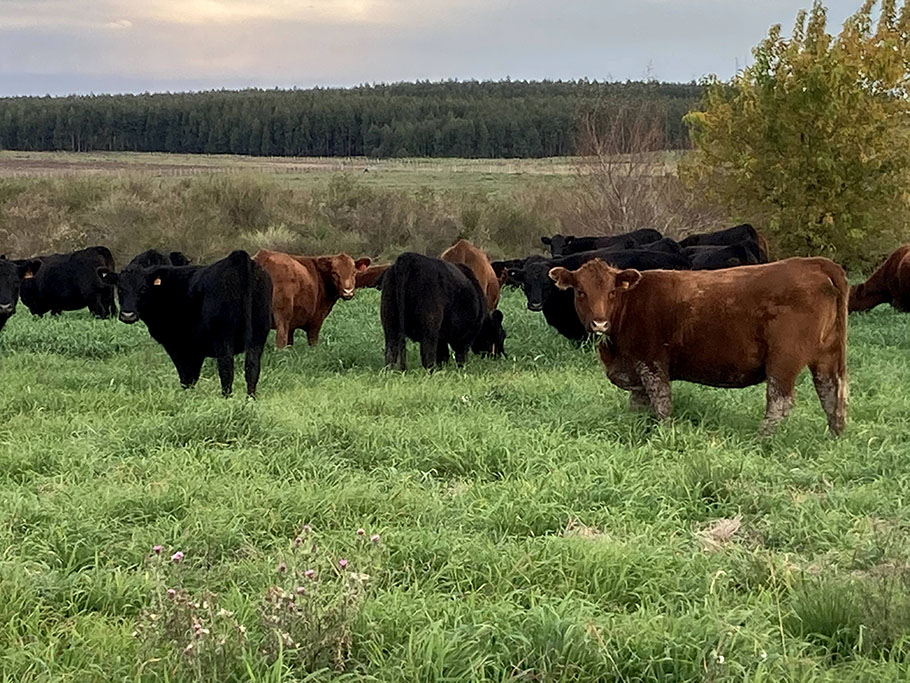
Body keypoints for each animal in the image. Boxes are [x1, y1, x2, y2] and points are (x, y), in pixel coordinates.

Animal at [100, 251, 270, 398]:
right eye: (120, 289)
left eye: (142, 289)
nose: (128, 315)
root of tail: (236, 258)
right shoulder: (196, 349)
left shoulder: (179, 345)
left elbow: (186, 376)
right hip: (258, 334)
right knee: (252, 368)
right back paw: (250, 400)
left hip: (224, 336)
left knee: (226, 368)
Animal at [378, 252, 506, 372]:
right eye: (501, 335)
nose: (500, 356)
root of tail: (408, 258)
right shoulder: (465, 336)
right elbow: (459, 356)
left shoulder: (442, 338)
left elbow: (443, 356)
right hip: (430, 324)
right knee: (427, 353)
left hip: (390, 321)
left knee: (391, 351)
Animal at [544, 256, 852, 438]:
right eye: (580, 291)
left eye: (611, 292)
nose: (599, 323)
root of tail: (814, 263)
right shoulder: (634, 368)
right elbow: (638, 404)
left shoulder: (652, 362)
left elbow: (661, 402)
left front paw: (664, 434)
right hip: (827, 355)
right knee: (831, 392)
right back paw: (835, 435)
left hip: (784, 359)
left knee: (780, 400)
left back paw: (761, 438)